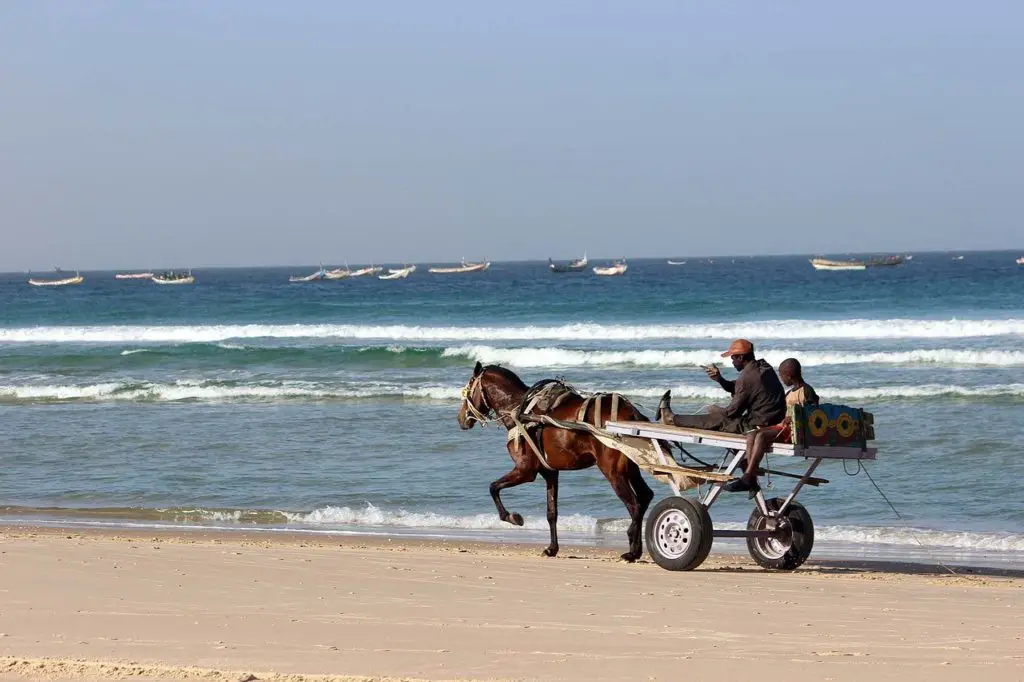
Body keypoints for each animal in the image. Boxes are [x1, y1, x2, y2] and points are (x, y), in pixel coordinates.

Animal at [458, 360, 651, 557]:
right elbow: (551, 513)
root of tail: (632, 414)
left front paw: (512, 517)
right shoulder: (550, 472)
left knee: (634, 505)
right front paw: (552, 548)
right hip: (631, 468)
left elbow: (493, 487)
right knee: (645, 497)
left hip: (613, 472)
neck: (519, 409)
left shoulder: (525, 470)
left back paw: (633, 549)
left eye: (468, 390)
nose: (461, 418)